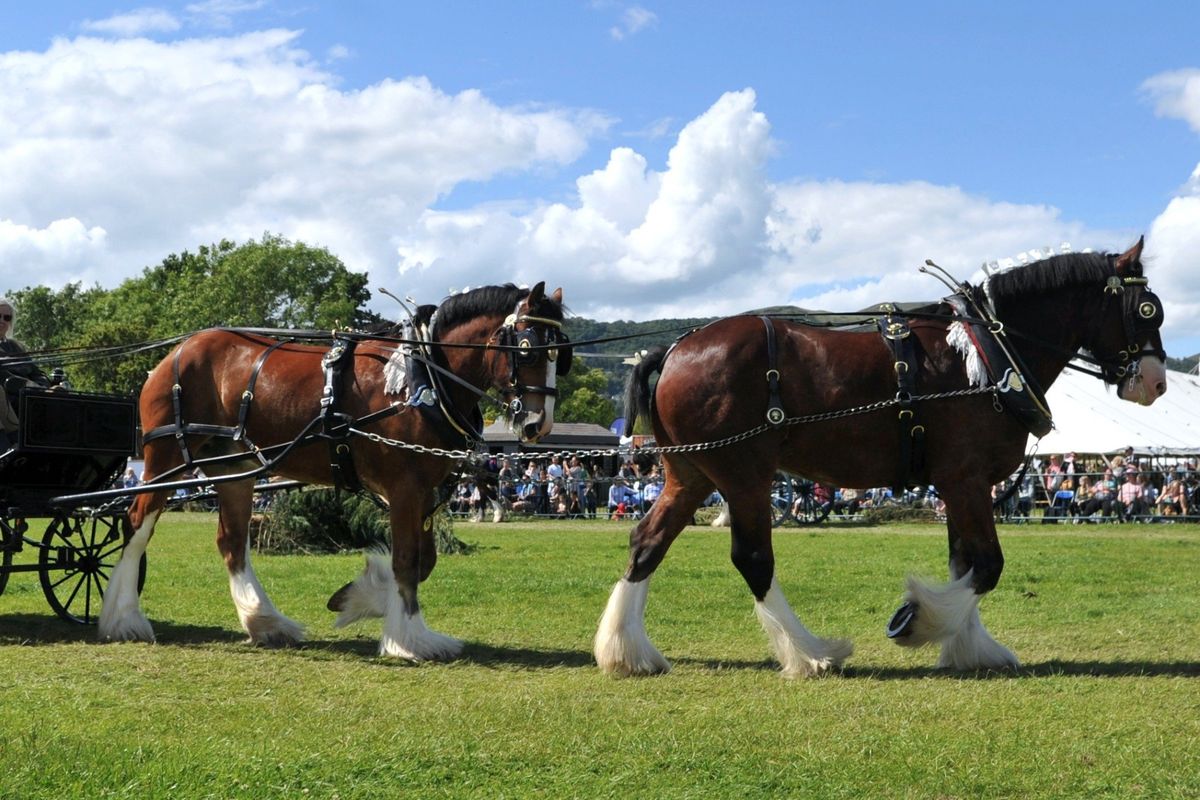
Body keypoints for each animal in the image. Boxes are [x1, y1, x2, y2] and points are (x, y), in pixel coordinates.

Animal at [98, 282, 571, 661]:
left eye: (561, 354)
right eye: (527, 347)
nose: (538, 424)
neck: (423, 377)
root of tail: (176, 353)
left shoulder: (424, 493)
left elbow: (424, 562)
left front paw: (358, 598)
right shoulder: (405, 489)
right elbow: (406, 562)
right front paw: (409, 639)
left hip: (234, 465)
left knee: (231, 543)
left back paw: (266, 622)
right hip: (167, 459)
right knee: (138, 523)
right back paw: (123, 619)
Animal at [595, 239, 1167, 677]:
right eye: (1148, 310)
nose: (1157, 381)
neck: (987, 355)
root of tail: (673, 350)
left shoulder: (957, 483)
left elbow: (964, 562)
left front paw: (969, 646)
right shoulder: (966, 479)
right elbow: (986, 566)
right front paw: (920, 621)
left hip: (690, 474)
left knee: (647, 543)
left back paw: (628, 651)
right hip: (743, 475)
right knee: (753, 560)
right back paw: (811, 655)